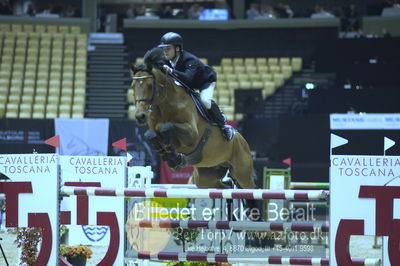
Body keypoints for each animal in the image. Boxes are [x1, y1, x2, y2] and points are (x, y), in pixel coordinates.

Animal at [130, 48, 258, 190]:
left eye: (150, 85)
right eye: (133, 85)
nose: (140, 116)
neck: (164, 105)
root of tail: (242, 140)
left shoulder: (191, 135)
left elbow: (166, 126)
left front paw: (174, 157)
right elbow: (150, 134)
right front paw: (170, 157)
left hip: (242, 173)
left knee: (251, 187)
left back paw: (227, 131)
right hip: (206, 176)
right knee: (224, 187)